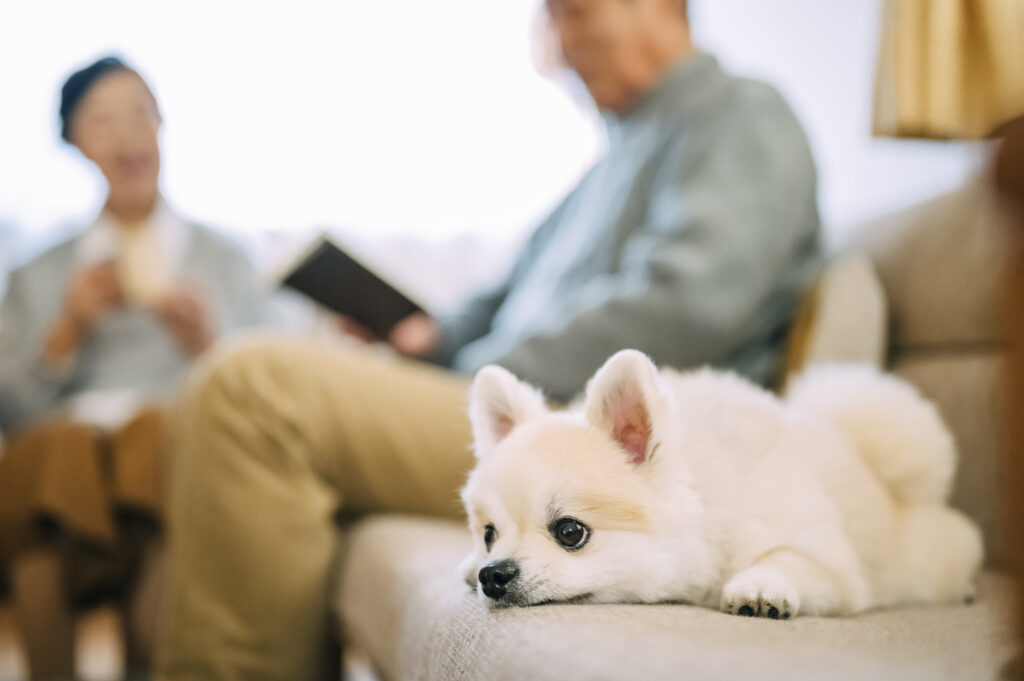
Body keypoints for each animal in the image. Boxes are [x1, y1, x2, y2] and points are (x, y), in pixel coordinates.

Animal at [458, 348, 983, 618]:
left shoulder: (833, 567)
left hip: (928, 559)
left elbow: (789, 557)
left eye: (570, 532)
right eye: (489, 535)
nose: (493, 574)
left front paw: (760, 586)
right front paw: (468, 566)